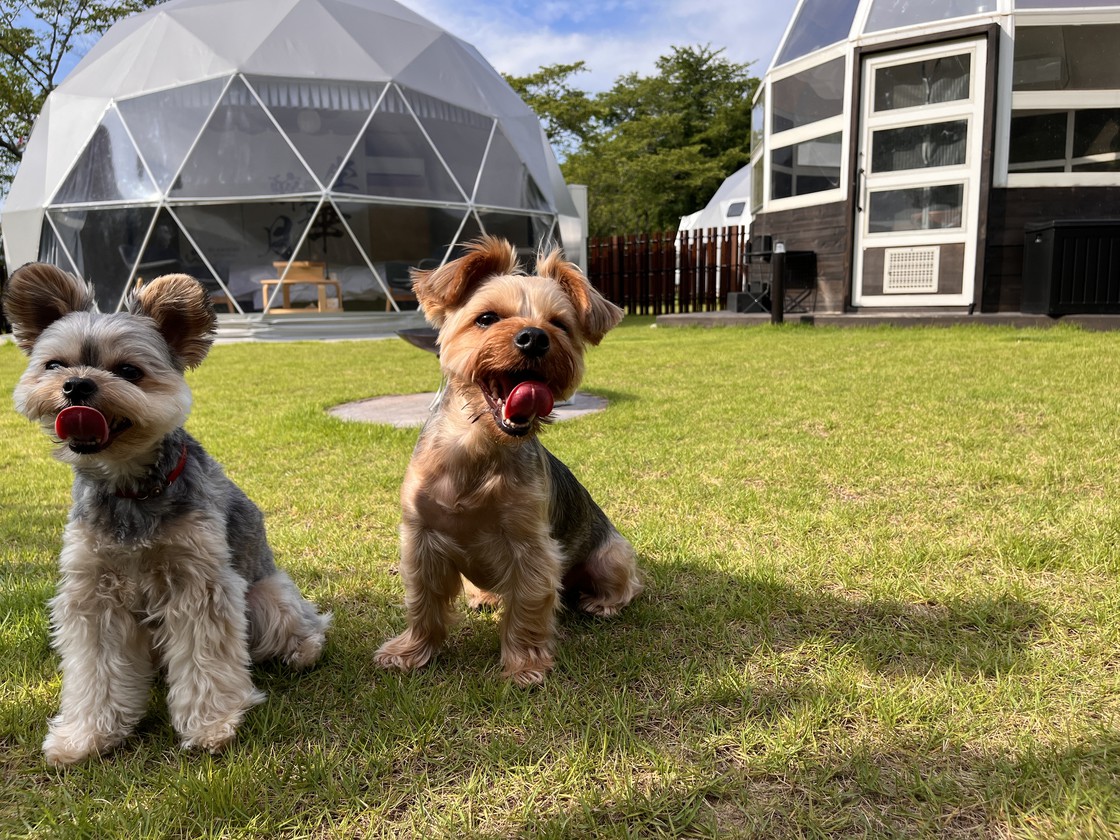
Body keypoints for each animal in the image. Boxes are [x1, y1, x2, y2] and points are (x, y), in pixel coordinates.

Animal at [3, 266, 327, 766]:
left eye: (128, 371)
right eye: (55, 365)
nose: (77, 385)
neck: (132, 489)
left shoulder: (198, 583)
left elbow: (205, 658)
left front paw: (212, 723)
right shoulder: (92, 591)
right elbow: (95, 669)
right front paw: (86, 734)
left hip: (266, 597)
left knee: (299, 625)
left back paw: (304, 648)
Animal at [374, 235, 645, 685]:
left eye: (560, 324)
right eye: (487, 318)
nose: (534, 337)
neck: (477, 443)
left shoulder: (530, 547)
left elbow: (528, 606)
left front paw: (525, 664)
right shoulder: (422, 538)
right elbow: (424, 601)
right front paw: (411, 651)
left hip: (610, 554)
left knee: (624, 581)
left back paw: (603, 602)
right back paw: (484, 596)